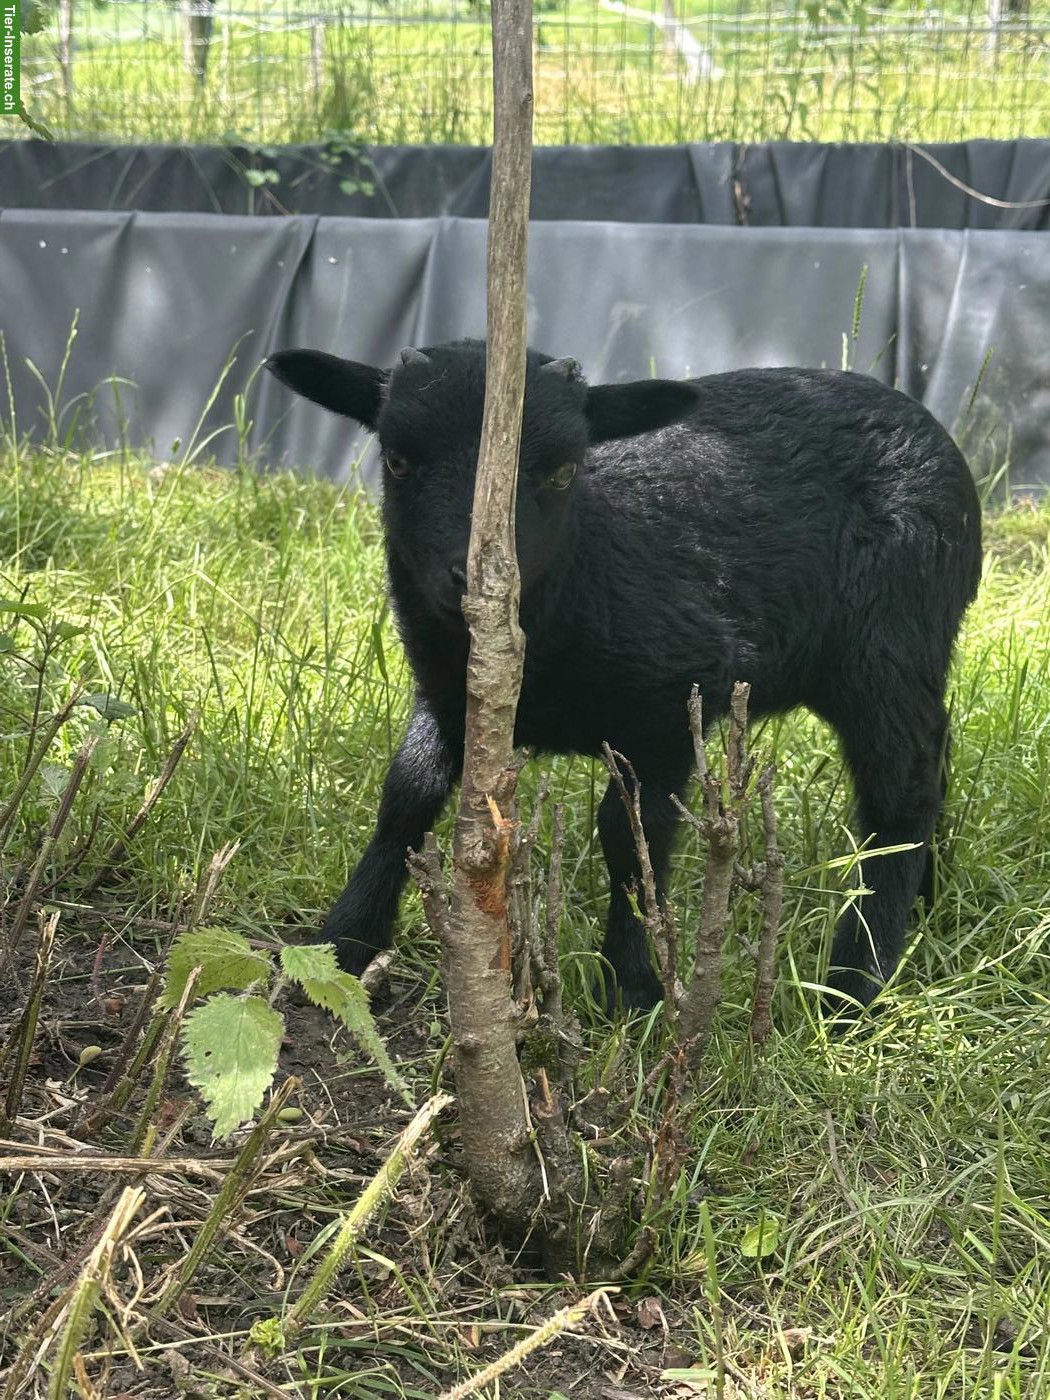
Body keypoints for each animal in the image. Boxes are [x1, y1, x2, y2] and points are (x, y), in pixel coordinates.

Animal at [266, 338, 982, 1014]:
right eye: (396, 461)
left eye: (563, 472)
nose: (476, 579)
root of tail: (928, 425)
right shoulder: (449, 696)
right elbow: (405, 797)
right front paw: (344, 940)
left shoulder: (675, 700)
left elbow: (630, 832)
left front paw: (632, 985)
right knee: (935, 752)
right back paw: (930, 901)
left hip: (888, 644)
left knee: (903, 790)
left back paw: (859, 975)